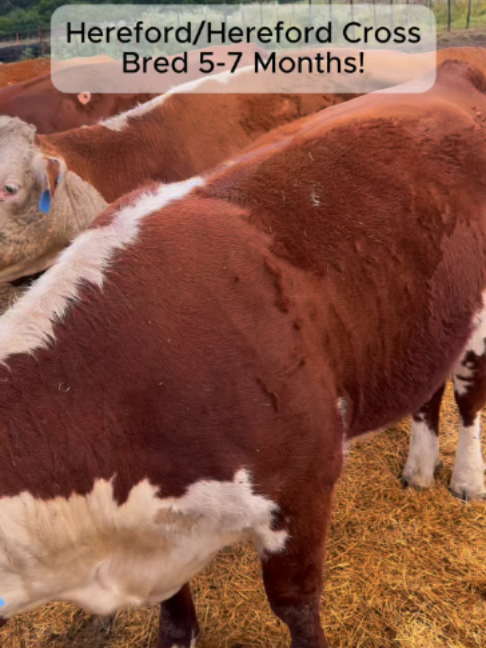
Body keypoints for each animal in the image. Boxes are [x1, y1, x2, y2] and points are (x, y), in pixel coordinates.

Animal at [0, 59, 484, 648]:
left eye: (8, 188)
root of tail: (452, 71)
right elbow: (173, 614)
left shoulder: (304, 480)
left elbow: (296, 605)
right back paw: (418, 467)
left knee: (470, 399)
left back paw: (467, 478)